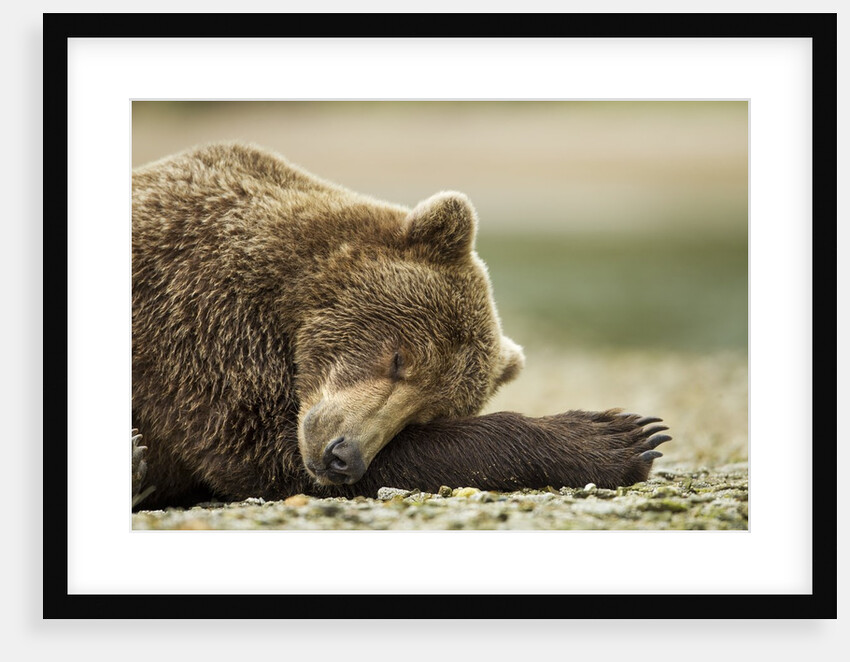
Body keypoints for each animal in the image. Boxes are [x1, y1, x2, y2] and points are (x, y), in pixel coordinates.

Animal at [131, 141, 670, 510]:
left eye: (425, 414)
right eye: (399, 357)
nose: (343, 456)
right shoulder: (200, 326)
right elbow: (259, 450)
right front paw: (618, 436)